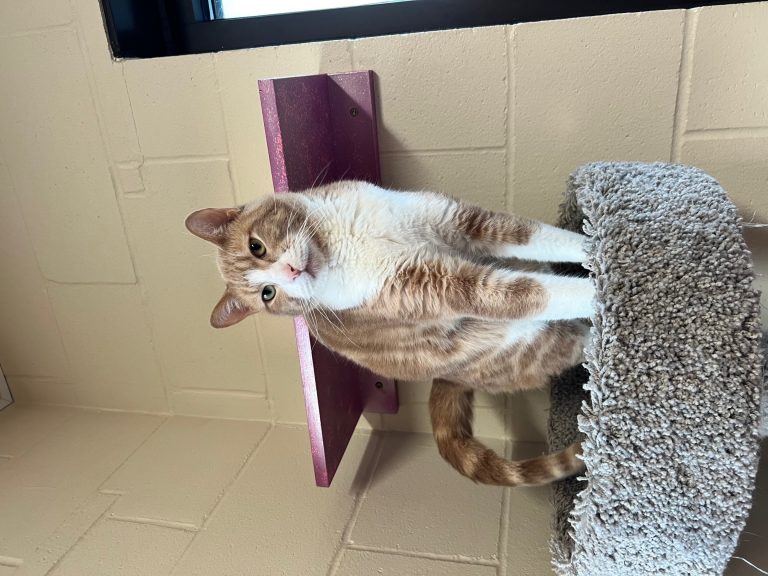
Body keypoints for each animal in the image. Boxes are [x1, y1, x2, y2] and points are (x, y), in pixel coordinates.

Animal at [186, 181, 593, 487]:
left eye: (256, 246)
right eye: (267, 295)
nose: (289, 273)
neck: (338, 244)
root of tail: (448, 378)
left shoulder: (458, 220)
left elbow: (541, 235)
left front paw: (593, 243)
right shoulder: (437, 286)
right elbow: (530, 293)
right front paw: (601, 286)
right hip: (537, 341)